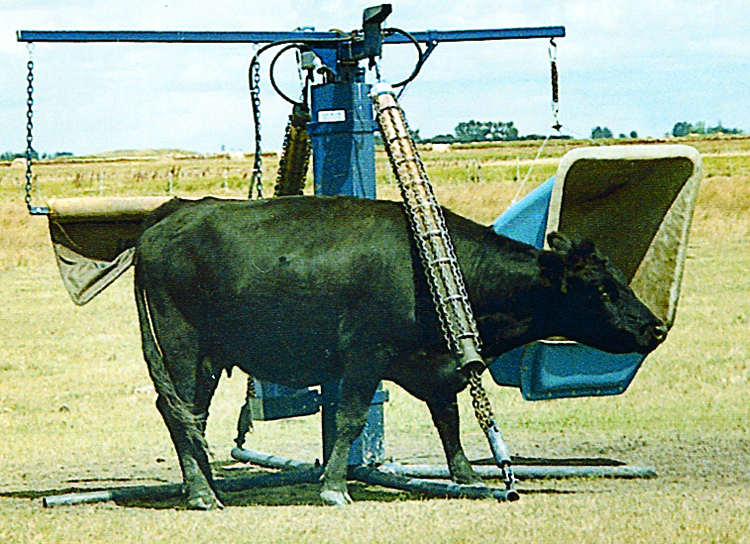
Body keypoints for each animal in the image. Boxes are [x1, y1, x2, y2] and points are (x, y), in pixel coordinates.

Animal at [134, 197, 664, 510]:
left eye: (621, 278)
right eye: (601, 289)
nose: (656, 327)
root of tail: (169, 218)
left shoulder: (436, 366)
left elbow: (450, 421)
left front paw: (468, 478)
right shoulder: (366, 354)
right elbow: (349, 418)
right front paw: (334, 487)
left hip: (207, 357)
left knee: (192, 415)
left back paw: (205, 485)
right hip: (182, 344)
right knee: (178, 410)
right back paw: (201, 493)